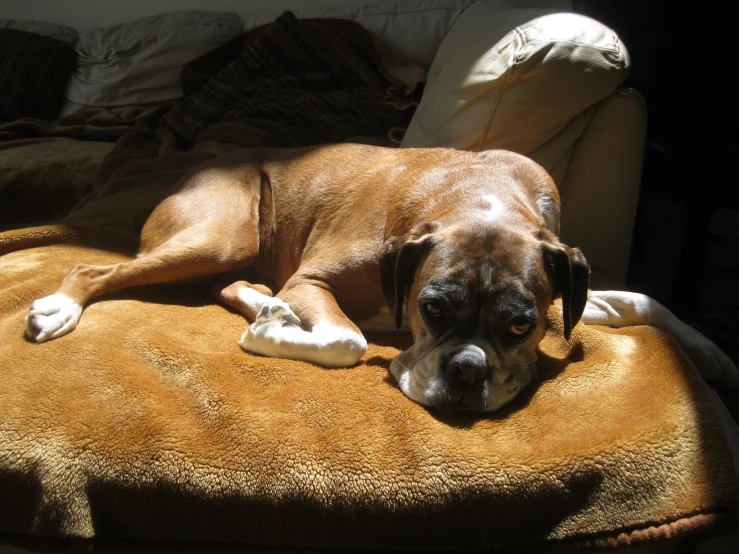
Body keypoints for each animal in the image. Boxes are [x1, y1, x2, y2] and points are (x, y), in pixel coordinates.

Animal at [24, 142, 739, 410]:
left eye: (521, 326)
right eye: (432, 309)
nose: (468, 372)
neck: (480, 196)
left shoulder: (567, 281)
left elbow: (639, 297)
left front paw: (711, 353)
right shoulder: (315, 281)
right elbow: (348, 339)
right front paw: (270, 339)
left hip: (232, 252)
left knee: (231, 286)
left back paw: (264, 303)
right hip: (219, 236)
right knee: (94, 266)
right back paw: (60, 308)